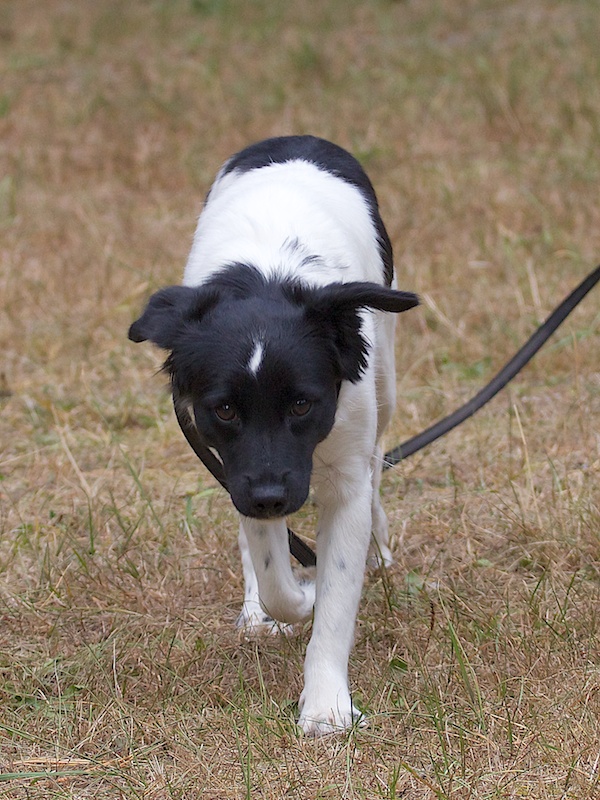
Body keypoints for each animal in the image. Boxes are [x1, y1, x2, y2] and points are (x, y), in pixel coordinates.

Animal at [129, 135, 418, 736]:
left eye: (303, 403)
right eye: (225, 409)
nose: (269, 497)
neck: (265, 278)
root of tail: (296, 138)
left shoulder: (338, 475)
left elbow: (337, 596)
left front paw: (326, 706)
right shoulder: (239, 467)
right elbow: (273, 571)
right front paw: (293, 601)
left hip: (386, 382)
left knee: (380, 460)